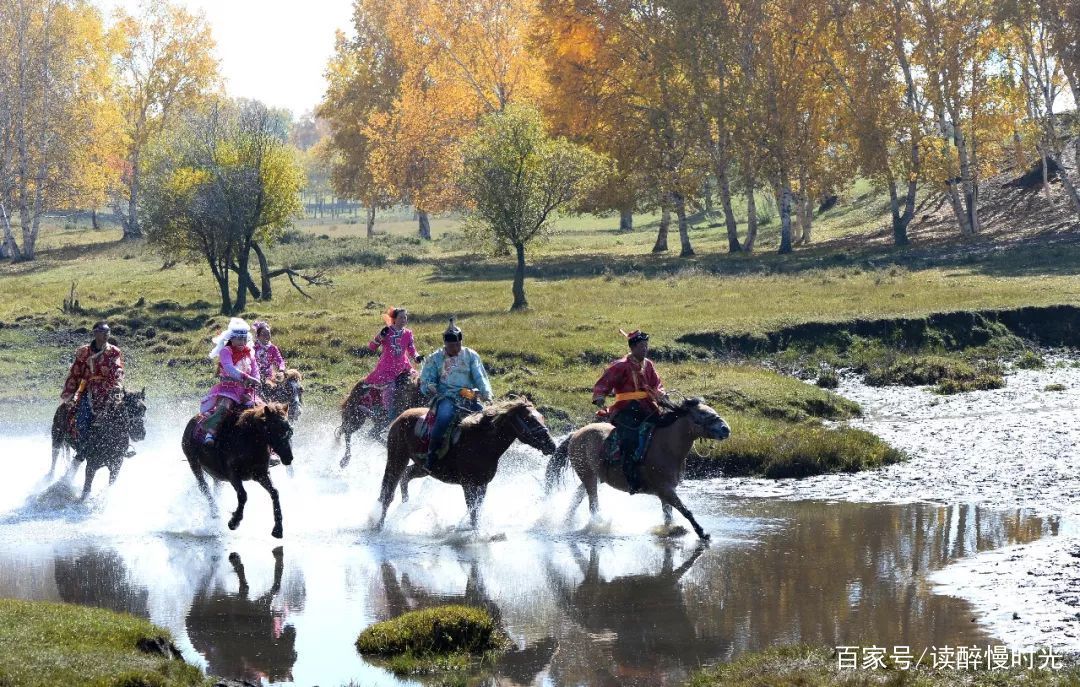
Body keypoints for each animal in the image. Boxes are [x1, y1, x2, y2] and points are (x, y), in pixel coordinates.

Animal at [182, 399, 295, 540]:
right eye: (271, 429)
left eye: (289, 429)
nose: (288, 457)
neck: (247, 441)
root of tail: (192, 421)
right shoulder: (233, 474)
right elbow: (243, 495)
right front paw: (234, 522)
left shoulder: (261, 474)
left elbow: (274, 492)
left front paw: (278, 529)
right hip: (194, 463)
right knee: (204, 487)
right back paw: (215, 512)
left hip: (215, 474)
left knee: (215, 488)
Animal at [375, 397, 557, 531]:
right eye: (529, 419)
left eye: (541, 417)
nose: (552, 445)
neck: (482, 443)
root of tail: (401, 416)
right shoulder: (468, 484)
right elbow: (473, 511)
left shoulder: (482, 484)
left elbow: (476, 510)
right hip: (397, 458)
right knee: (387, 492)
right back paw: (379, 525)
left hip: (422, 468)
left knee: (405, 476)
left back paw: (405, 505)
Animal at [544, 399, 730, 540]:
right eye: (703, 414)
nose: (726, 429)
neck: (667, 447)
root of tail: (574, 435)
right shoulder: (666, 489)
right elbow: (685, 510)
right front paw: (702, 533)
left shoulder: (665, 492)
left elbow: (668, 516)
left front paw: (672, 530)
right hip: (588, 476)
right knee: (593, 504)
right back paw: (598, 525)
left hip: (592, 477)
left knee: (577, 497)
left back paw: (566, 521)